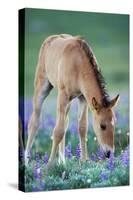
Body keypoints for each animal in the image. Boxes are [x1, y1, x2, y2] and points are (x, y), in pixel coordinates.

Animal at [25, 33, 119, 166]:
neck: (78, 63)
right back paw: (26, 161)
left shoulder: (83, 97)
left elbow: (82, 128)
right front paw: (49, 164)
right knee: (34, 122)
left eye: (114, 123)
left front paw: (84, 160)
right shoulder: (63, 95)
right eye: (102, 126)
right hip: (42, 87)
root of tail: (50, 38)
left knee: (65, 122)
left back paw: (62, 161)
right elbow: (58, 131)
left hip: (68, 102)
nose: (109, 153)